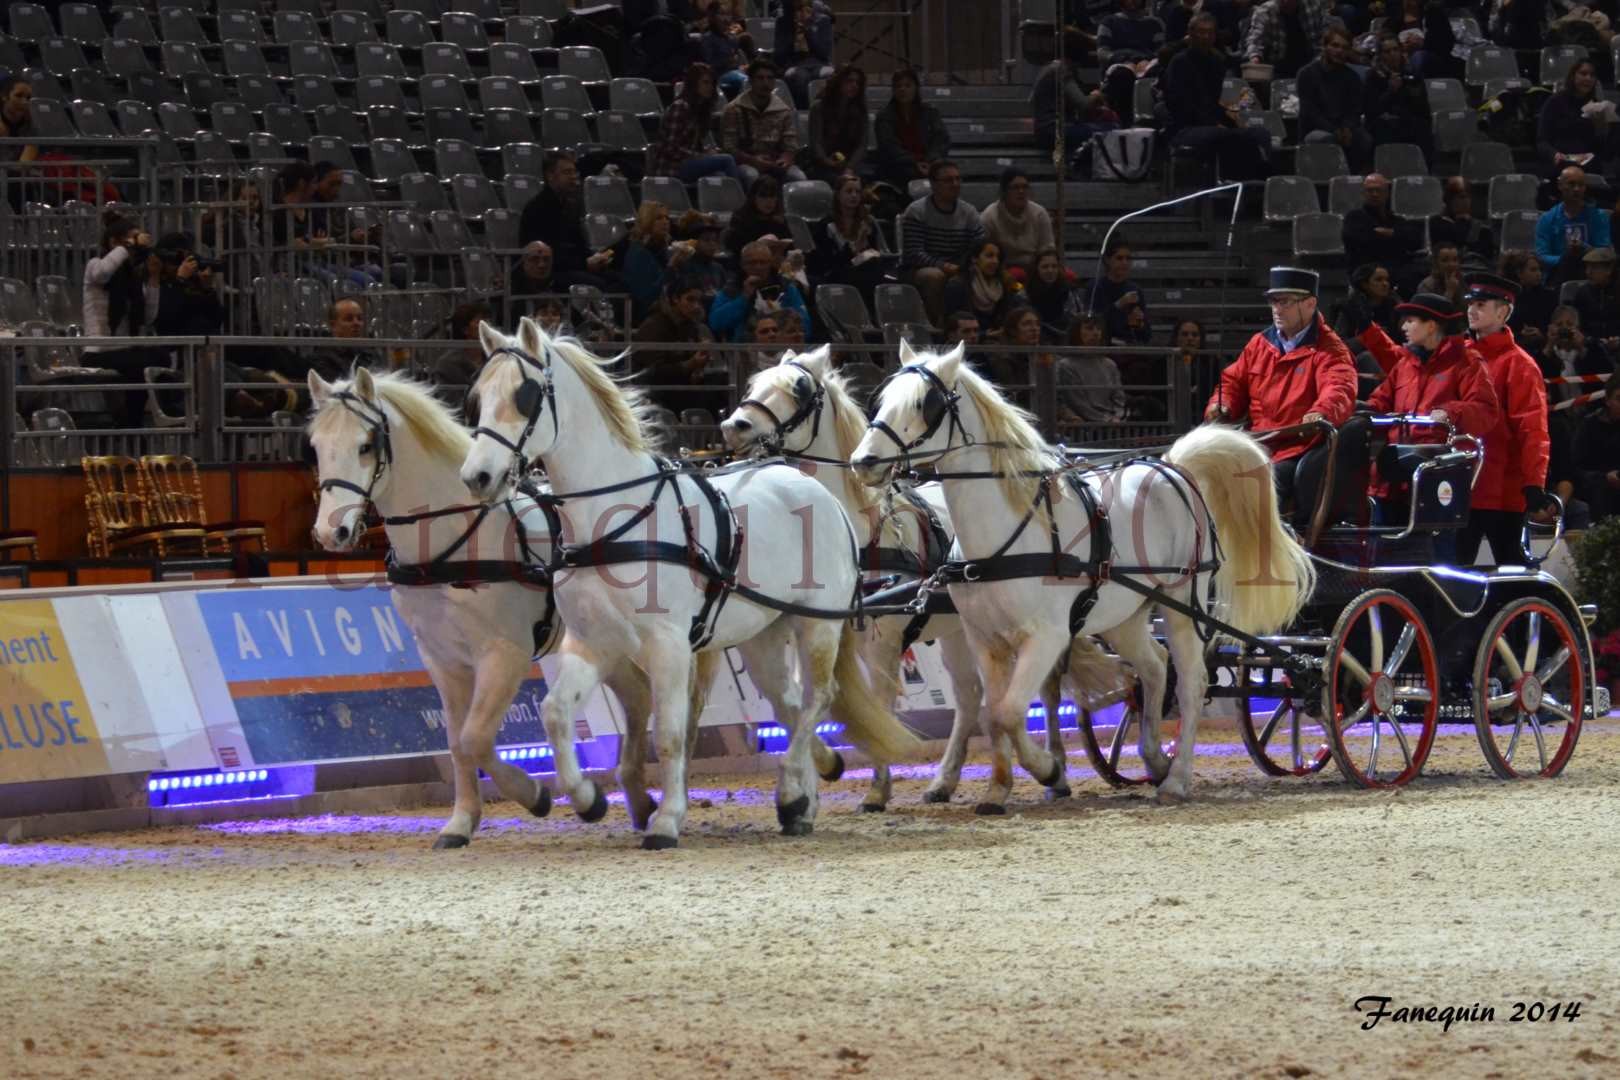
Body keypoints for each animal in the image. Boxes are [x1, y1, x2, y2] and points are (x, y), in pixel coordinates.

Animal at [306, 367, 706, 848]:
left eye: (366, 445)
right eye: (315, 445)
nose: (331, 533)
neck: (454, 541)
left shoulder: (505, 653)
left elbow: (476, 737)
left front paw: (536, 795)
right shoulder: (441, 658)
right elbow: (457, 742)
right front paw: (460, 823)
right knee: (638, 696)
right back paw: (641, 800)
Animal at [463, 317, 920, 848]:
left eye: (526, 395)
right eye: (478, 396)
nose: (478, 476)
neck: (615, 521)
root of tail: (818, 492)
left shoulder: (669, 646)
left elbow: (670, 732)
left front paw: (665, 820)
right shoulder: (594, 642)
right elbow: (556, 713)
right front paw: (588, 800)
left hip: (818, 625)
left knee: (817, 700)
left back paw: (791, 794)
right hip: (762, 636)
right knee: (788, 704)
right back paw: (801, 804)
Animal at [722, 346, 1127, 809]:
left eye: (798, 389)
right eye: (755, 384)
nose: (734, 426)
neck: (859, 531)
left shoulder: (881, 641)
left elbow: (880, 705)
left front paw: (876, 788)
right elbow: (790, 701)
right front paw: (820, 770)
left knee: (1038, 693)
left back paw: (1052, 771)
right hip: (957, 631)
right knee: (971, 700)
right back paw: (946, 781)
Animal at [848, 344, 1315, 803]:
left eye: (923, 403)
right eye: (882, 400)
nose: (863, 460)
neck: (1005, 534)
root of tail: (1169, 466)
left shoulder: (1047, 636)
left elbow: (1008, 712)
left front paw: (1049, 770)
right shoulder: (984, 638)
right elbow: (993, 713)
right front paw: (1000, 789)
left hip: (1183, 603)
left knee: (1192, 681)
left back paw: (1178, 777)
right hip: (1125, 616)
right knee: (1154, 667)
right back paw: (1154, 760)